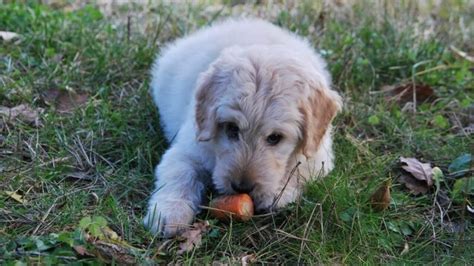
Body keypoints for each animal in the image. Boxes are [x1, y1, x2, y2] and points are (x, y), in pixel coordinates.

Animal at [143, 18, 340, 237]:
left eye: (275, 137)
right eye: (231, 128)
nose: (241, 187)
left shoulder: (319, 156)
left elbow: (299, 170)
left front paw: (278, 193)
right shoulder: (188, 149)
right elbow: (179, 175)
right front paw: (168, 213)